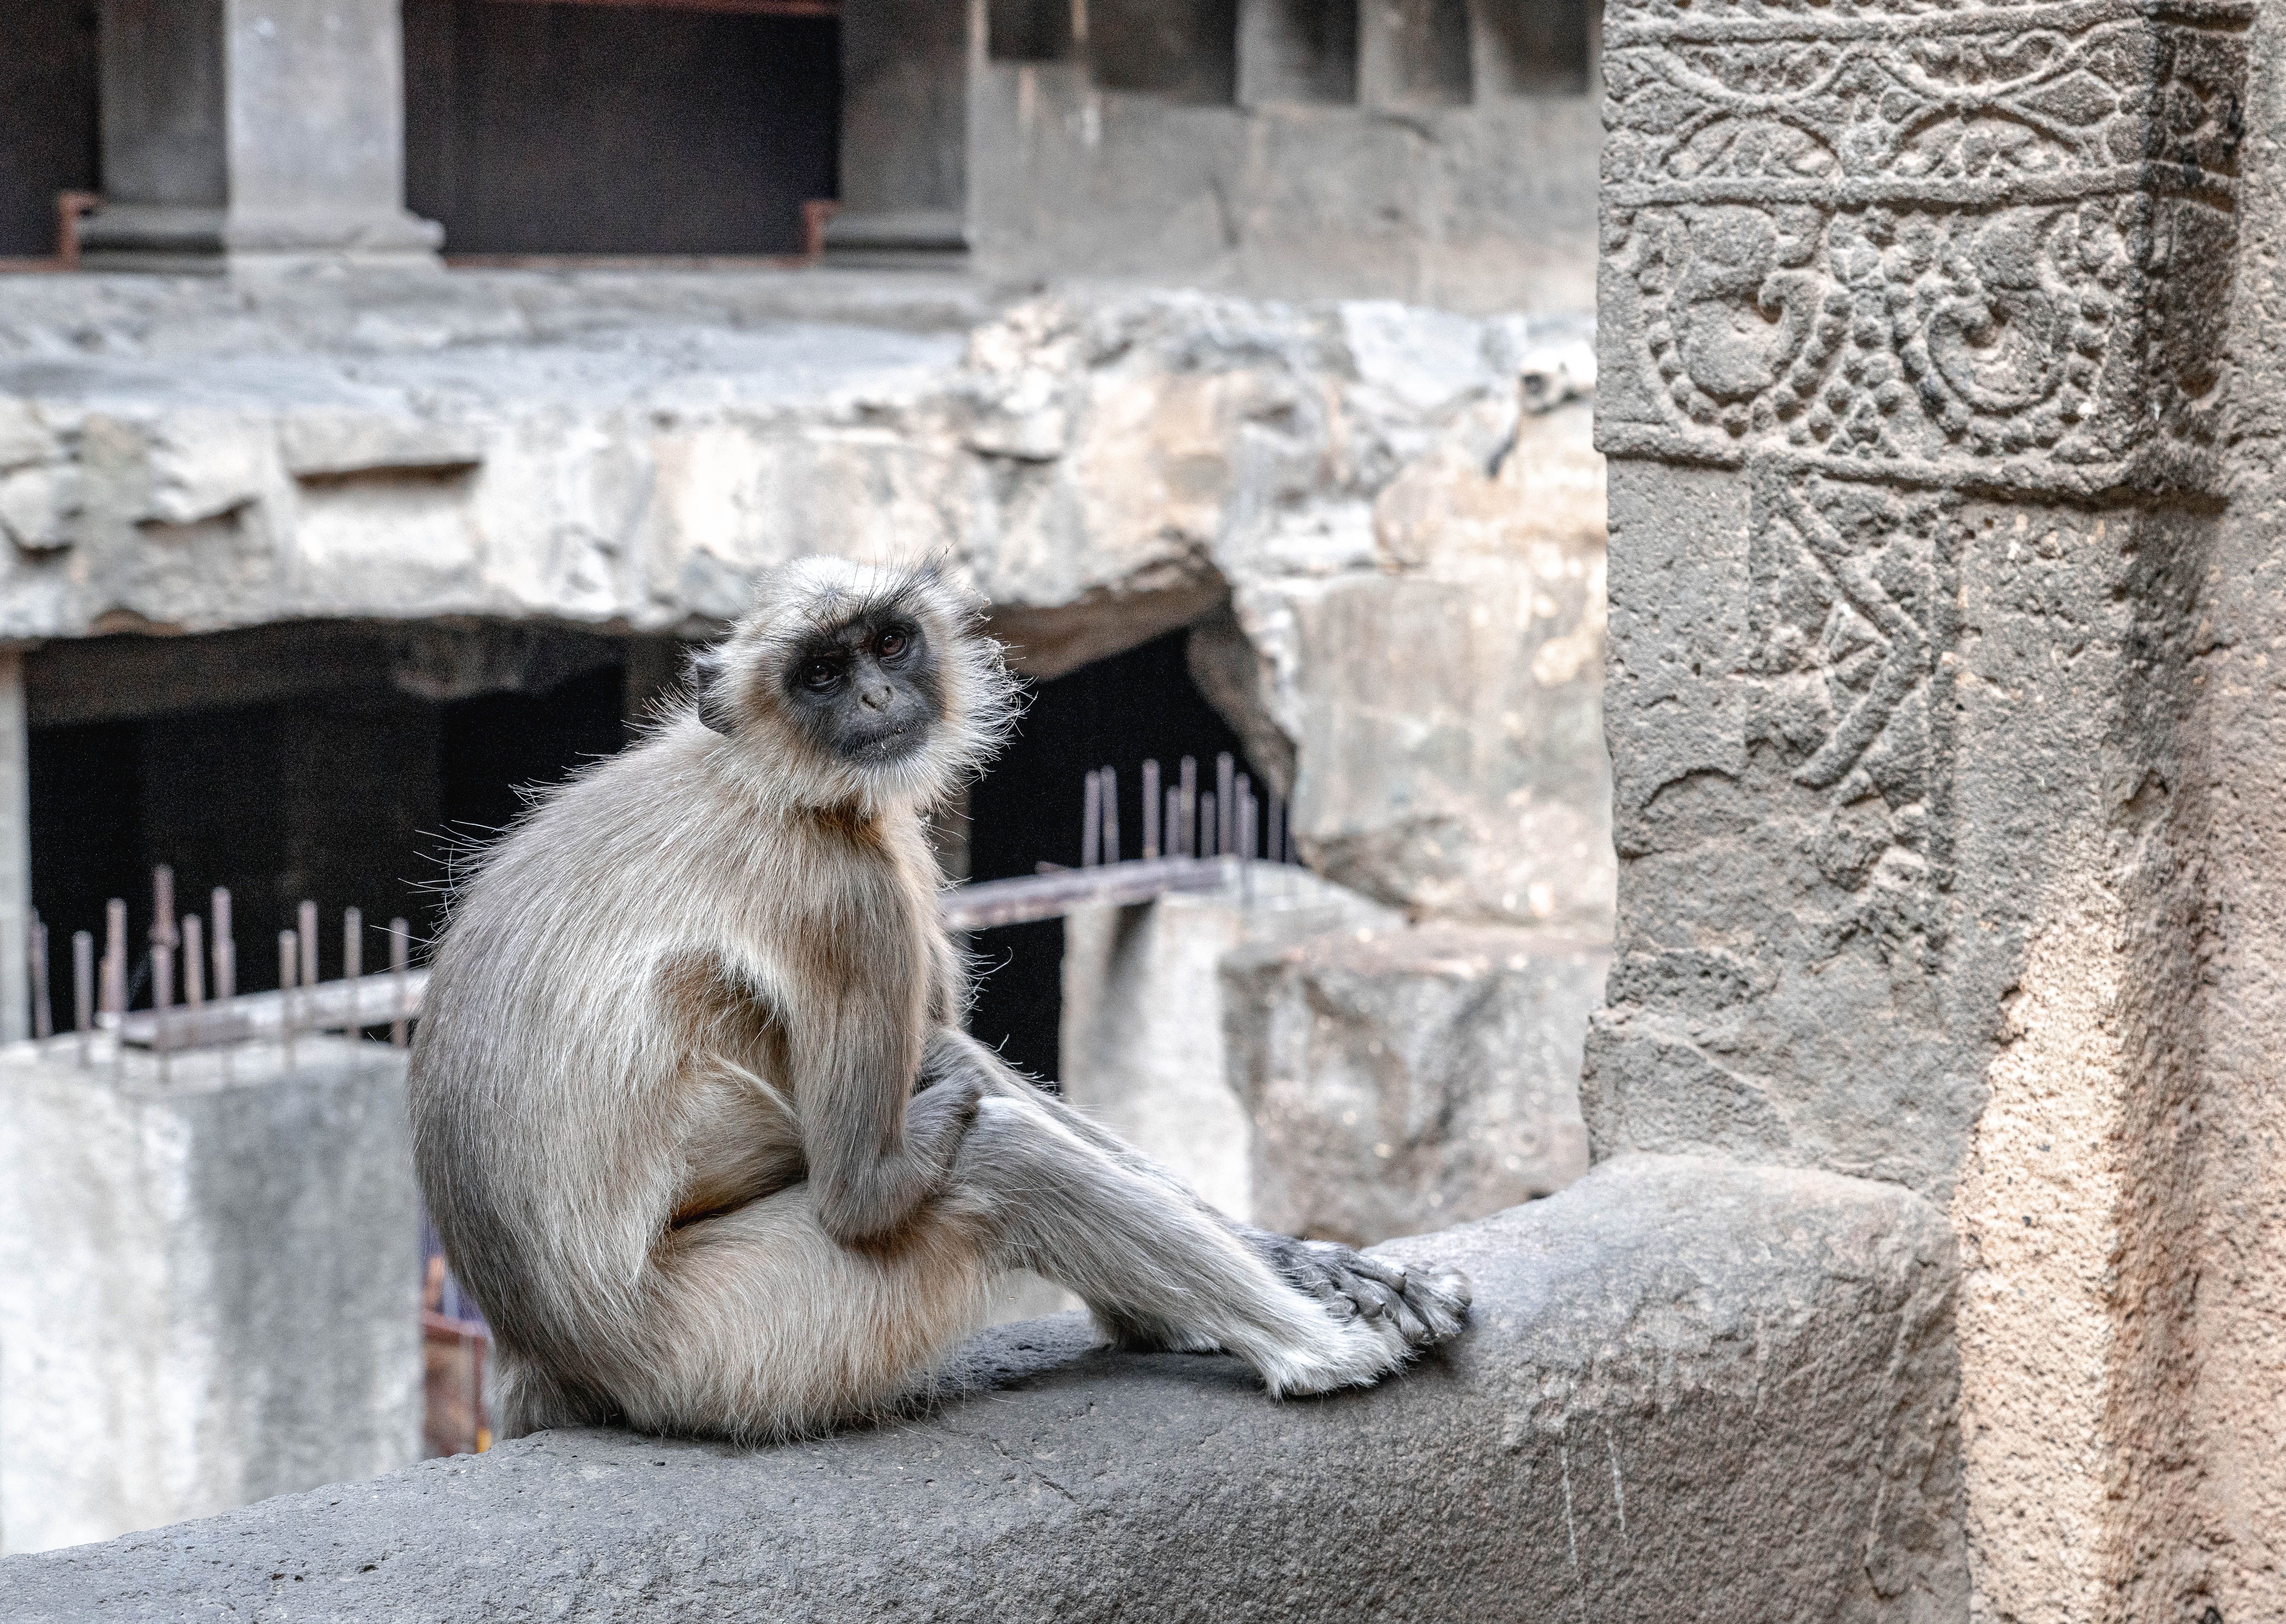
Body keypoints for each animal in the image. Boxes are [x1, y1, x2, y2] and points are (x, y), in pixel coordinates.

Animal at [409, 556, 1470, 1444]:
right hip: (737, 1340)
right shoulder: (844, 893)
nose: (878, 695)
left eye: (887, 644)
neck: (760, 776)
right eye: (820, 673)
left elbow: (948, 1057)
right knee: (997, 1156)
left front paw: (1307, 1257)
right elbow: (862, 1185)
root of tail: (551, 1349)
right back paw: (1315, 1354)